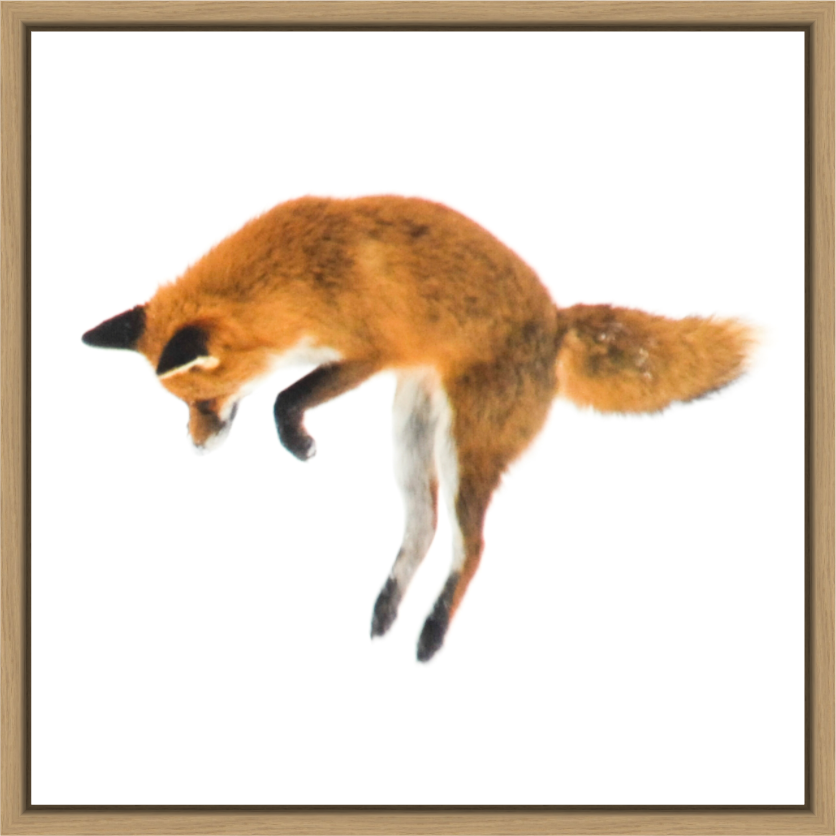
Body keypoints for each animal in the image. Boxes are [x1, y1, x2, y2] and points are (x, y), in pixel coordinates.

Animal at [82, 195, 754, 662]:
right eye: (184, 406)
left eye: (203, 399)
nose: (196, 448)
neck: (300, 276)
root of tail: (556, 322)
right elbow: (285, 394)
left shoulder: (371, 351)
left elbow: (283, 398)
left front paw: (298, 441)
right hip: (410, 440)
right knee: (425, 528)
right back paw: (388, 609)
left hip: (465, 450)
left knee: (471, 546)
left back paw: (432, 633)